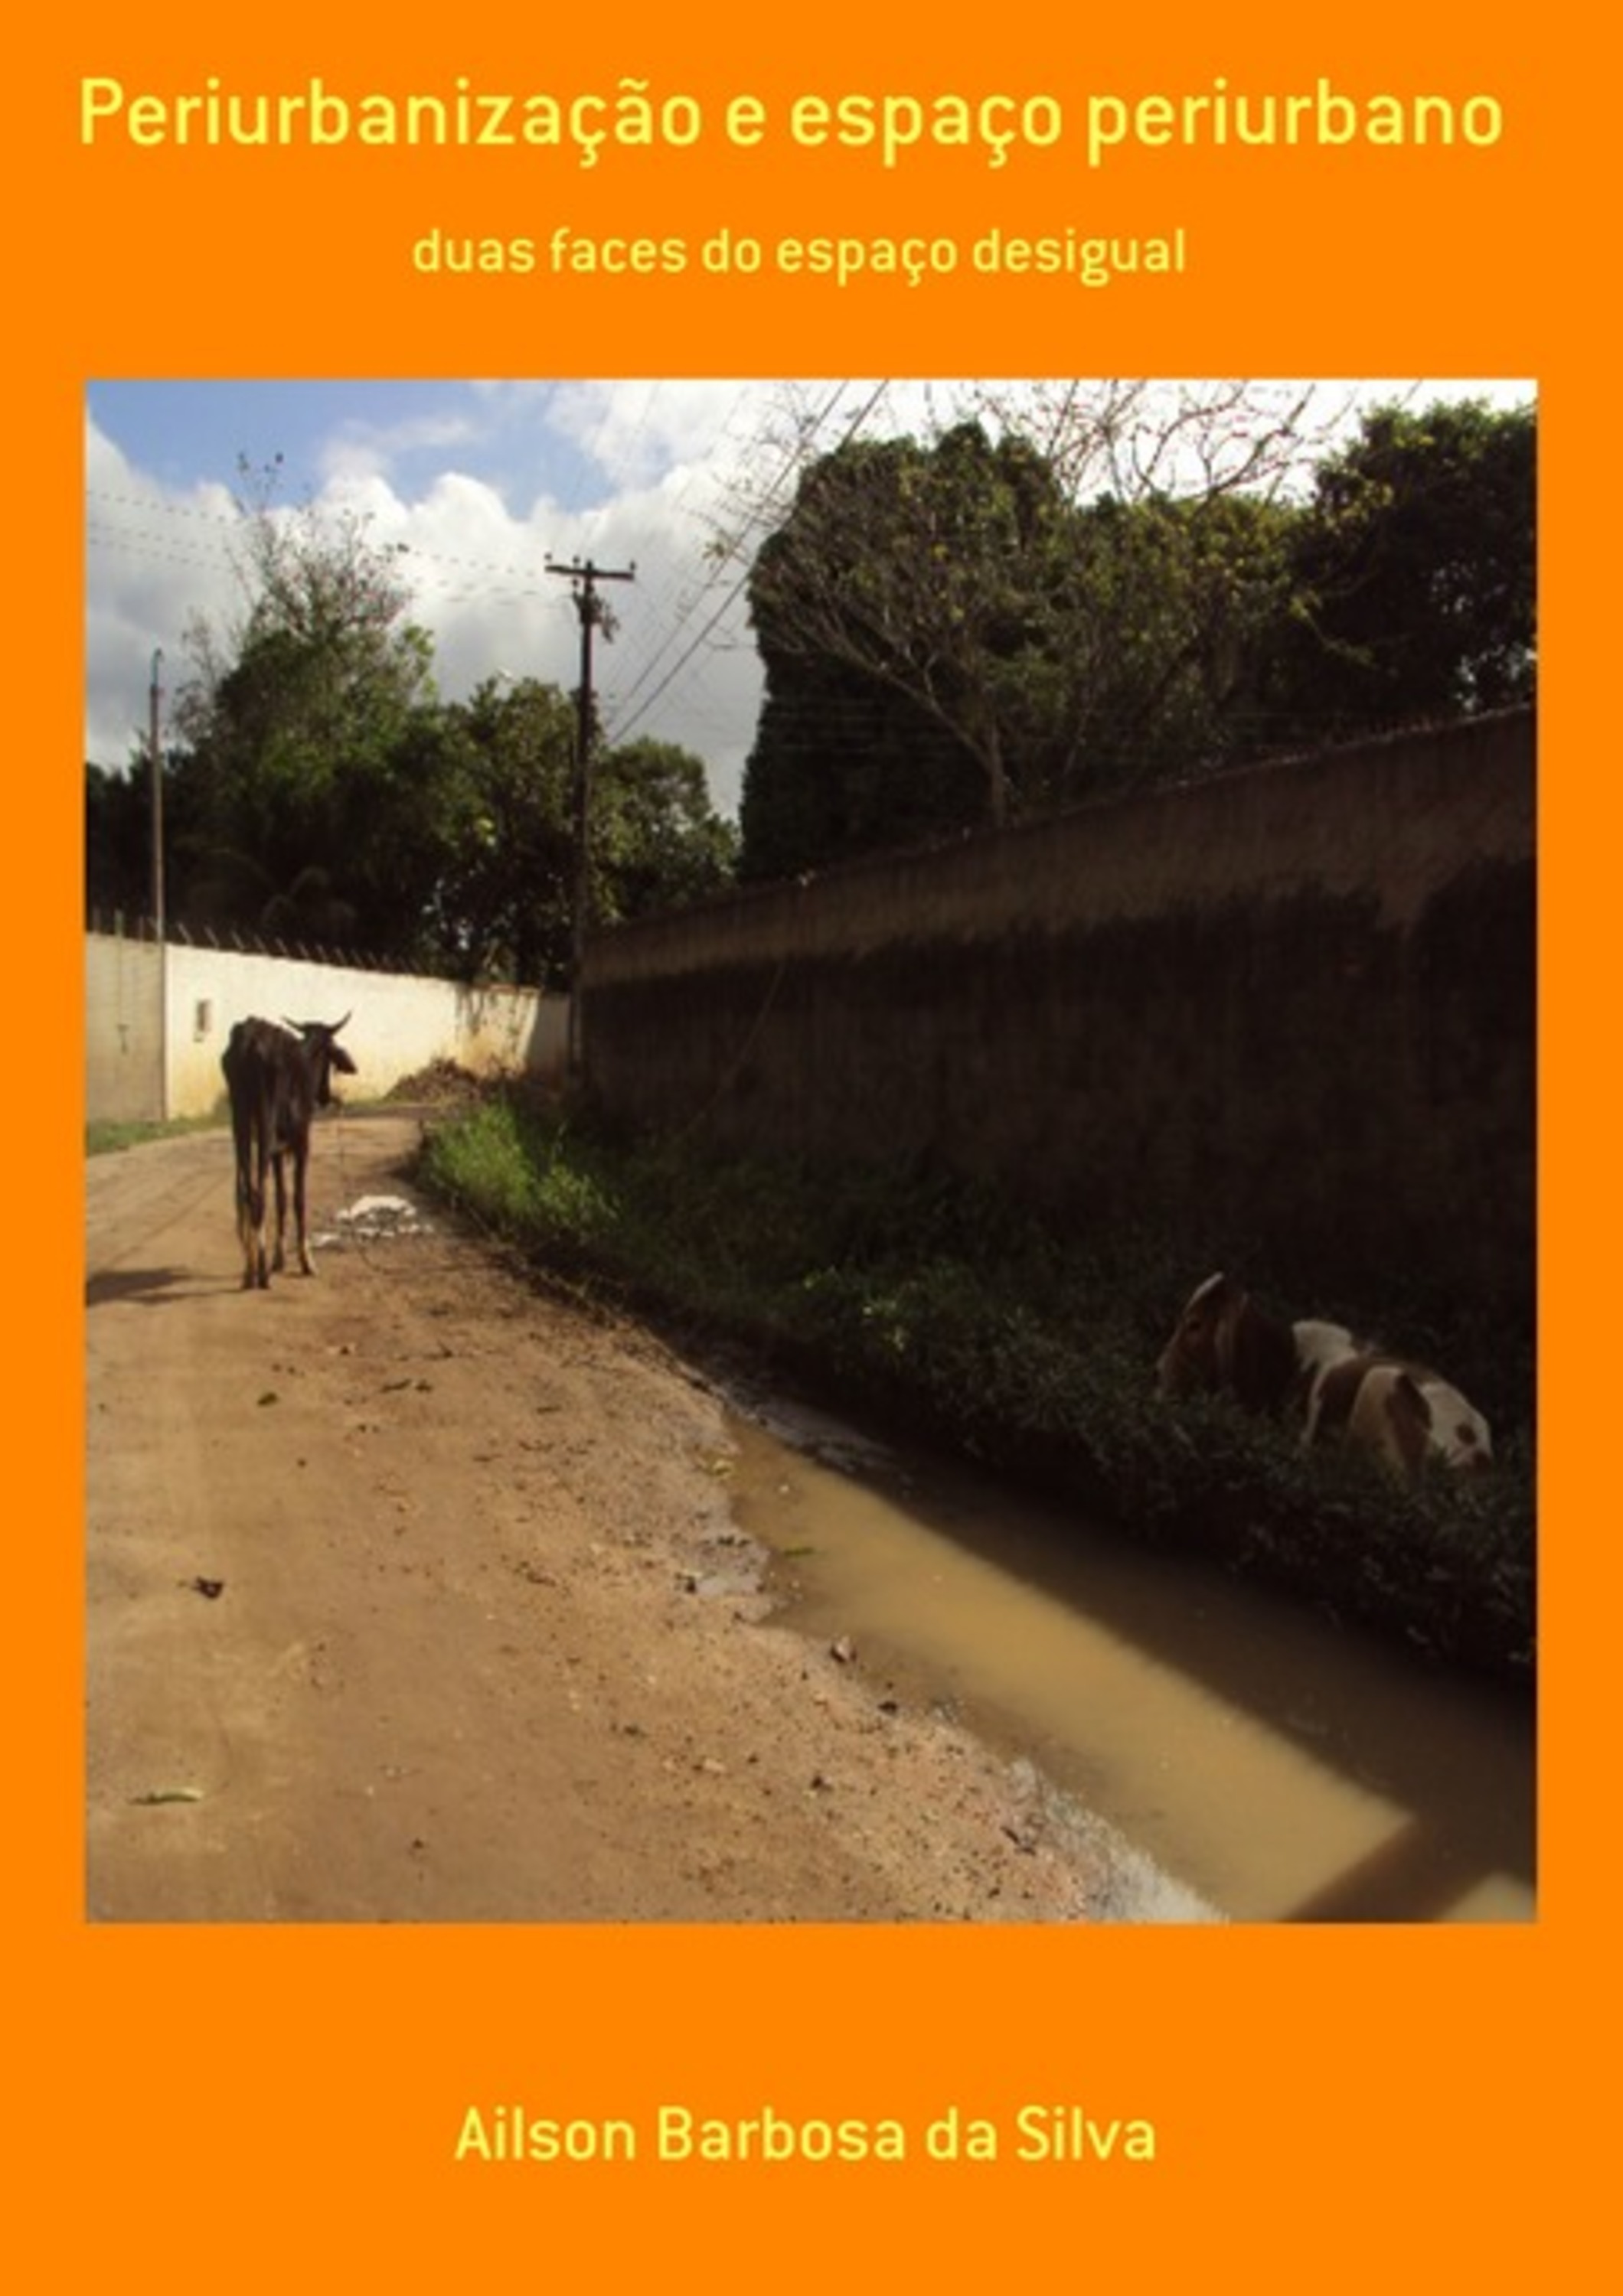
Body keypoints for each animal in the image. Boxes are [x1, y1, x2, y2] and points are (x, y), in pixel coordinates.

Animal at [222, 1010, 355, 1286]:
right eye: (331, 1052)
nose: (325, 1096)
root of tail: (249, 1042)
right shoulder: (302, 1143)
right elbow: (298, 1198)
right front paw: (306, 1261)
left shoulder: (278, 1151)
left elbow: (282, 1199)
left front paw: (279, 1258)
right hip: (265, 1124)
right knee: (258, 1194)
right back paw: (261, 1274)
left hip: (240, 1125)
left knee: (245, 1193)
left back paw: (249, 1270)